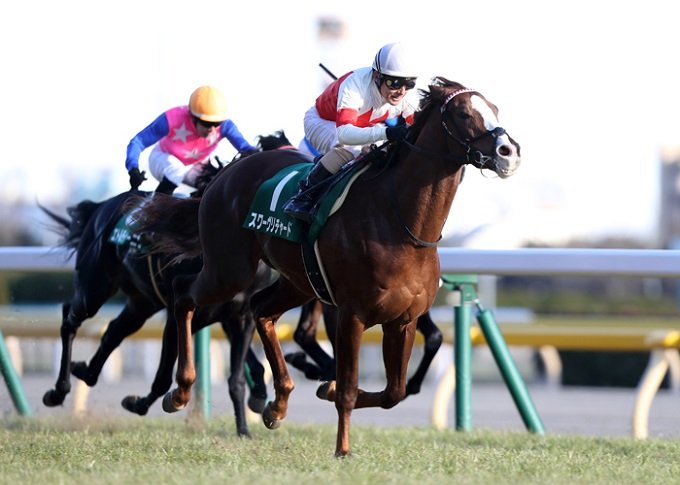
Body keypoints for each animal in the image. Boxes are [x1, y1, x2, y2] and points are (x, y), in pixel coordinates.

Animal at [136, 78, 521, 456]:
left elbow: (393, 392)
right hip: (229, 268)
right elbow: (350, 388)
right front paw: (342, 449)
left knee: (261, 310)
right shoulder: (352, 313)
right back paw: (180, 391)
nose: (509, 151)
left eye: (496, 109)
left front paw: (326, 387)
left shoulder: (403, 319)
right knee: (183, 294)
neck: (401, 224)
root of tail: (226, 172)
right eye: (462, 113)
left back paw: (277, 403)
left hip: (296, 281)